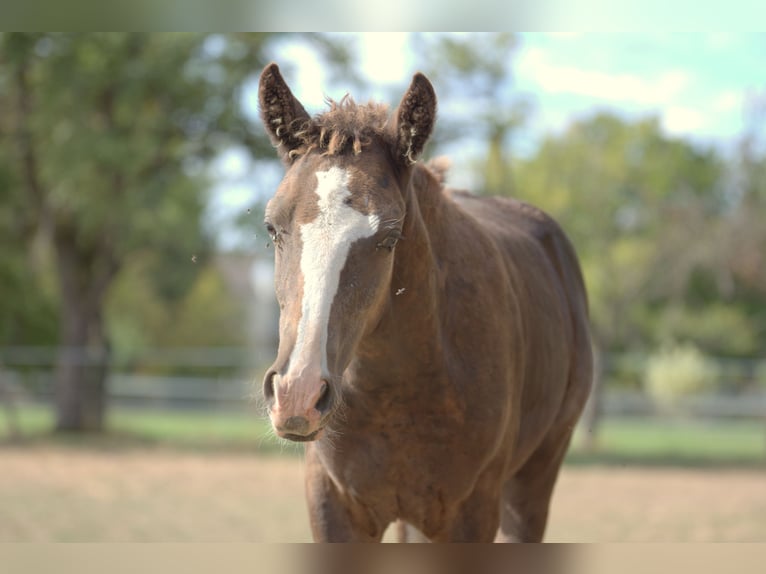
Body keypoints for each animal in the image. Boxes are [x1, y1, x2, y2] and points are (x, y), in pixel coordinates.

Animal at [257, 62, 593, 542]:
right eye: (272, 227)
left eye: (390, 237)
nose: (297, 393)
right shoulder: (333, 505)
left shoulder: (472, 513)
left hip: (534, 480)